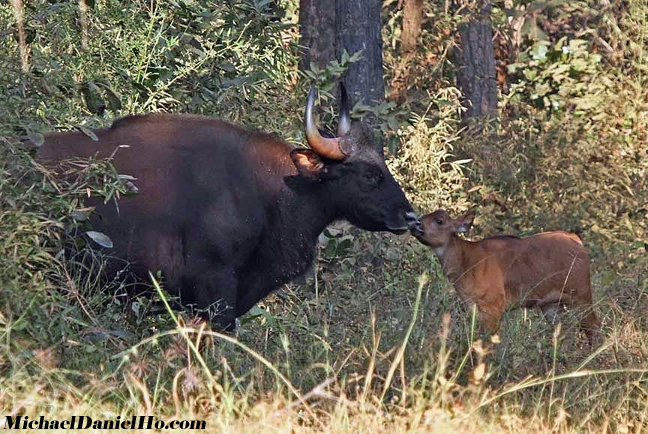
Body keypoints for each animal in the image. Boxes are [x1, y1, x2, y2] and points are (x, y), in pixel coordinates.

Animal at [412, 210, 600, 342]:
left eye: (439, 220)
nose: (416, 224)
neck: (466, 262)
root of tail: (577, 241)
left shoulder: (493, 307)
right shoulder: (475, 308)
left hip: (581, 296)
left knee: (593, 328)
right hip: (551, 305)